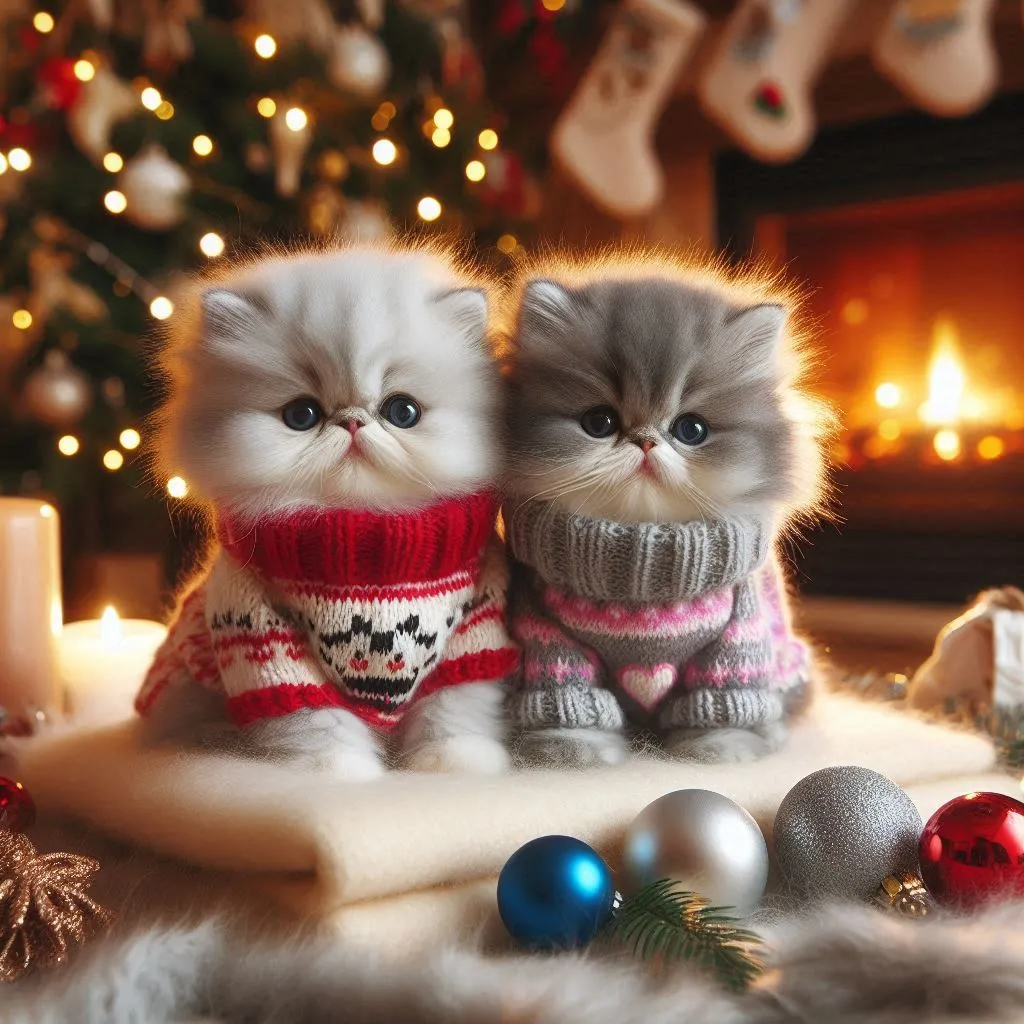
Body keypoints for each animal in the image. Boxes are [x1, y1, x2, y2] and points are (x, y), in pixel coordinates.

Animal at [499, 251, 827, 765]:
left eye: (691, 429)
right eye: (599, 422)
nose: (647, 442)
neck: (642, 579)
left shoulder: (736, 642)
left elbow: (724, 702)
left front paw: (722, 747)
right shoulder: (548, 640)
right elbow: (567, 697)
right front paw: (571, 748)